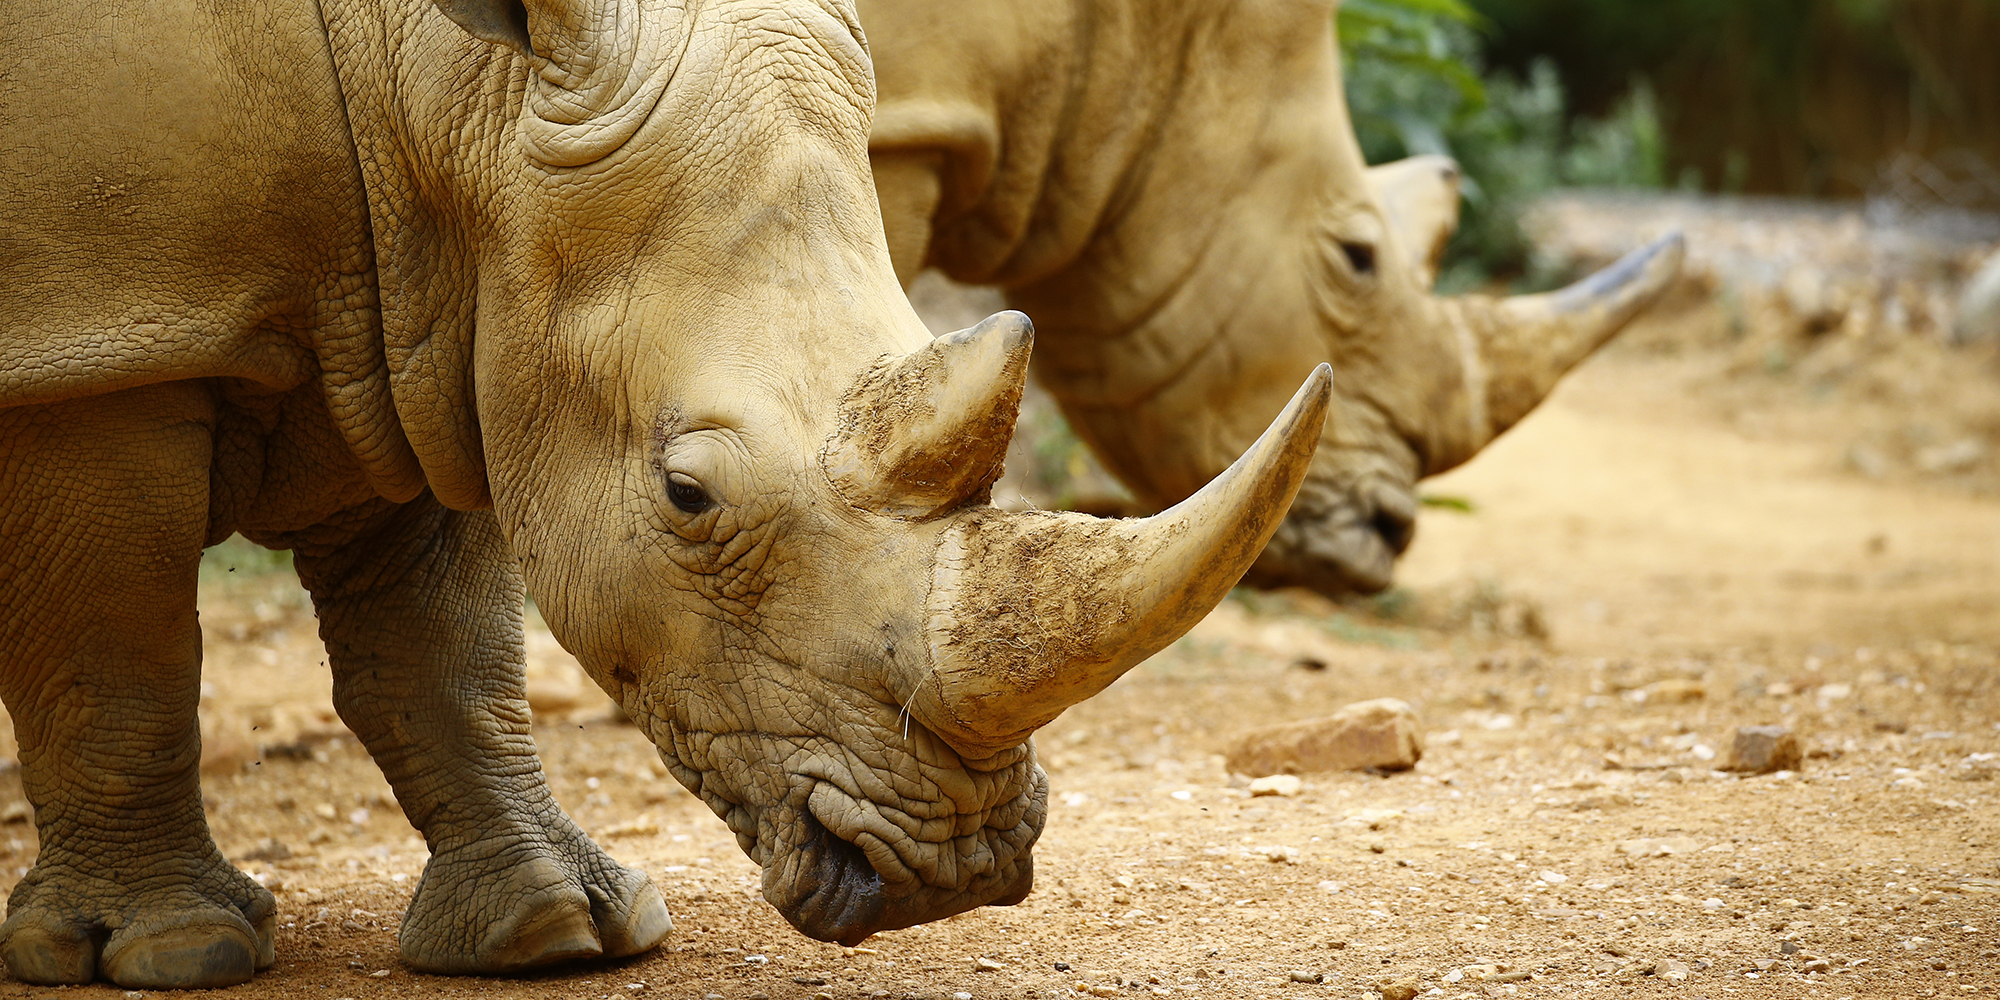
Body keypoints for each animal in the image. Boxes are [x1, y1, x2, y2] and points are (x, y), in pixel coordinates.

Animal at [0, 0, 1329, 988]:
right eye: (688, 495)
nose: (950, 872)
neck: (437, 90)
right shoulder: (103, 346)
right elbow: (118, 656)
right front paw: (175, 951)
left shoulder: (435, 322)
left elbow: (443, 654)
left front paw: (553, 931)